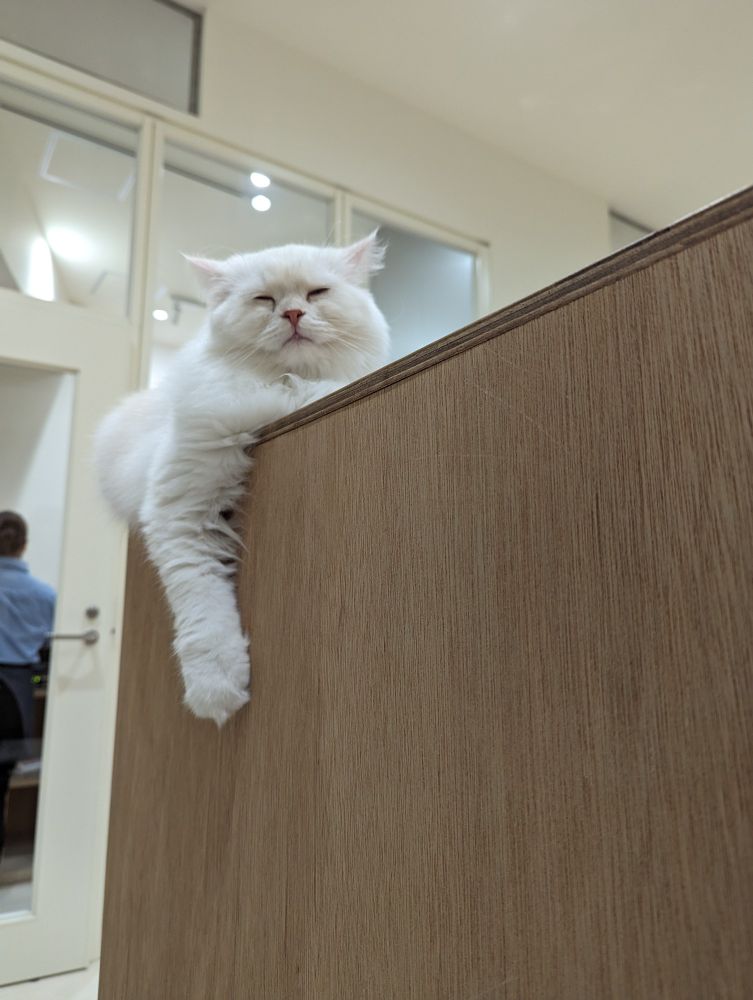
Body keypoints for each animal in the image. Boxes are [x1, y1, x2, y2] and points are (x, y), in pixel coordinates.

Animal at [95, 233, 389, 726]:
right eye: (264, 300)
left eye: (317, 294)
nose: (293, 314)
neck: (287, 386)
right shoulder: (180, 508)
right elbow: (202, 605)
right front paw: (215, 688)